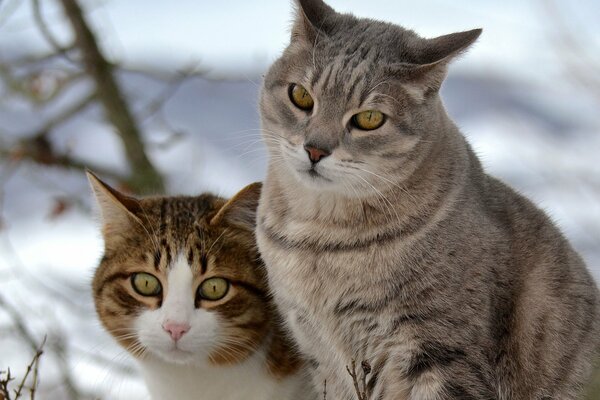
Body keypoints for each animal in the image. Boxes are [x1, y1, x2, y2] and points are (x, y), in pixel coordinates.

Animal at [255, 0, 600, 400]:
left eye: (369, 118)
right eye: (301, 96)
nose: (315, 149)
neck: (319, 242)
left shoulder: (441, 352)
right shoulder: (321, 356)